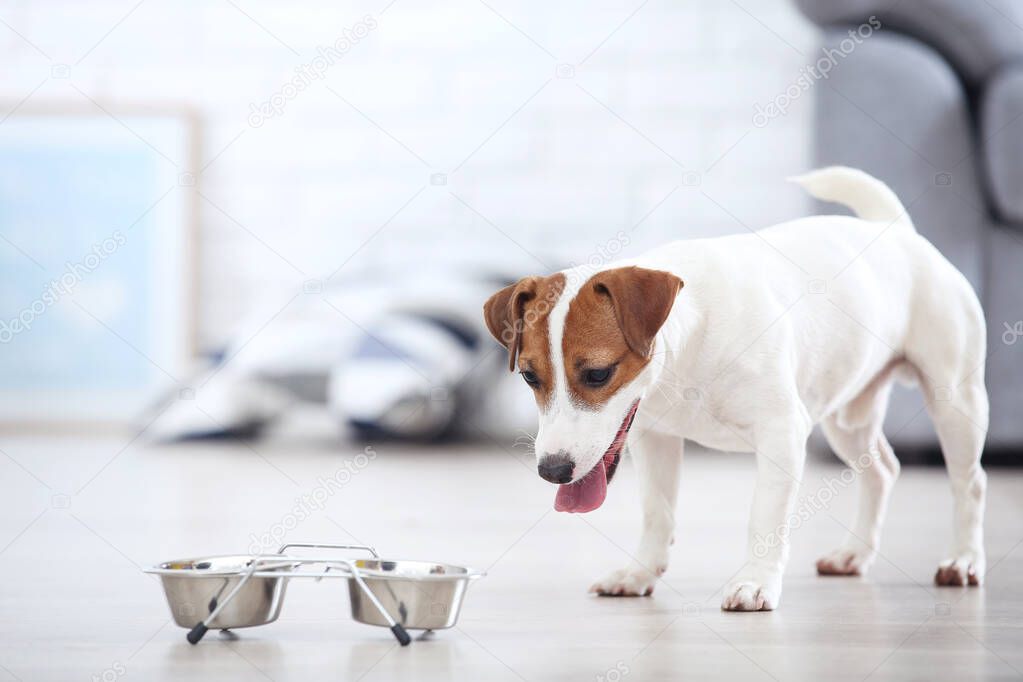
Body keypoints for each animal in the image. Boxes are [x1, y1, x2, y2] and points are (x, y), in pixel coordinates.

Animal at [482, 169, 986, 613]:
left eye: (598, 374)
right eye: (529, 377)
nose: (552, 471)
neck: (687, 343)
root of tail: (893, 229)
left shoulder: (782, 434)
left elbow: (764, 517)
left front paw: (756, 582)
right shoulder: (654, 437)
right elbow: (657, 511)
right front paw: (640, 573)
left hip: (954, 401)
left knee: (969, 483)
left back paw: (963, 560)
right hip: (847, 417)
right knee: (881, 470)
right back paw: (854, 554)